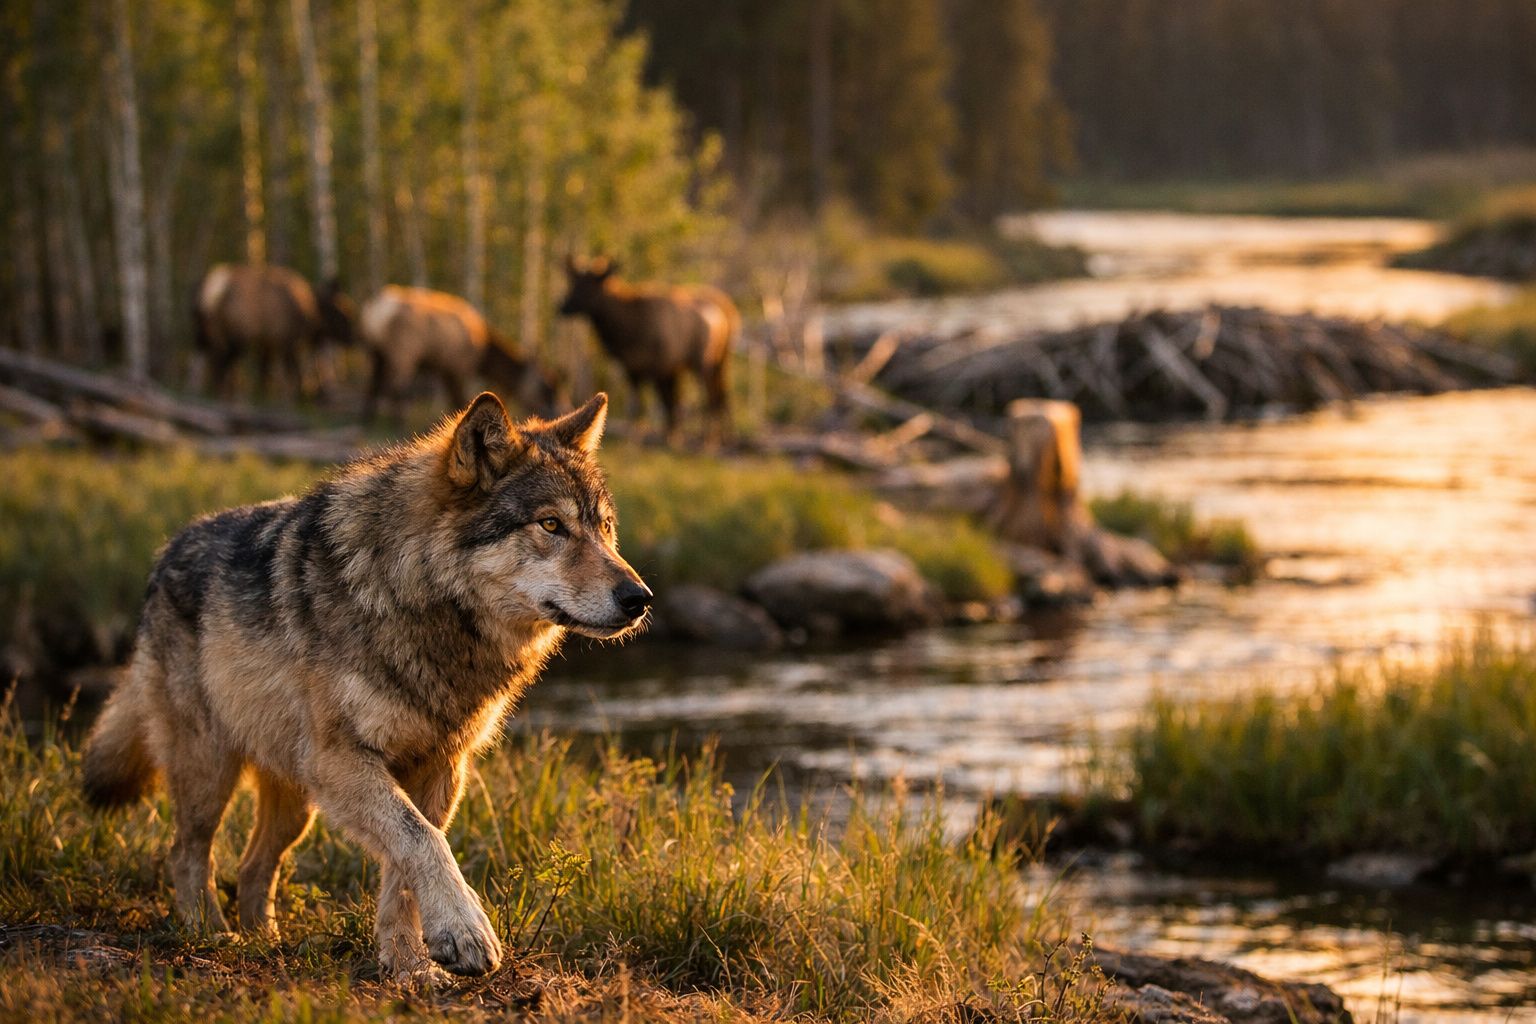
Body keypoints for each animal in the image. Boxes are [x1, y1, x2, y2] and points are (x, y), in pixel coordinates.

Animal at [81, 391, 651, 982]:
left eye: (605, 527)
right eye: (551, 524)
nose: (640, 598)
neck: (422, 603)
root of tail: (165, 553)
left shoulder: (440, 768)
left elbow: (406, 866)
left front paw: (411, 964)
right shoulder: (343, 761)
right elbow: (422, 841)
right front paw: (464, 931)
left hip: (298, 802)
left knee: (255, 865)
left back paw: (266, 942)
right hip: (212, 772)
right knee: (188, 851)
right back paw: (211, 935)